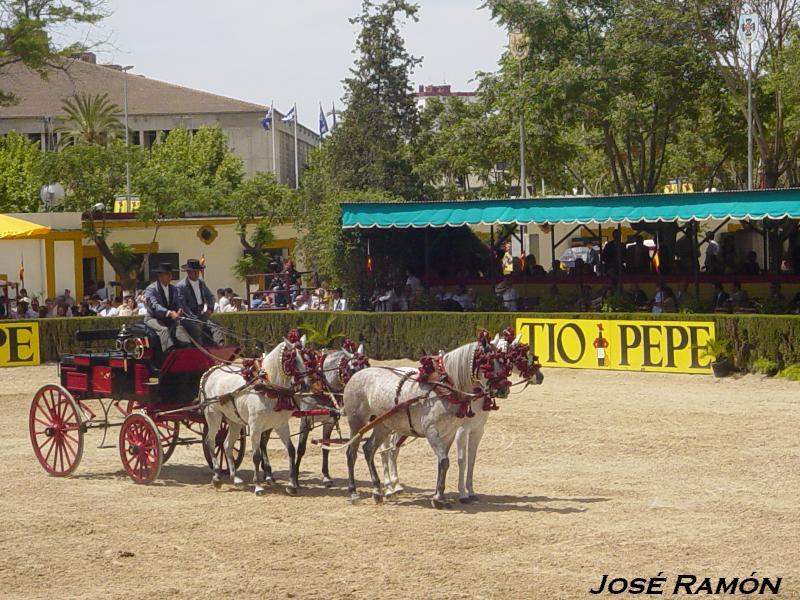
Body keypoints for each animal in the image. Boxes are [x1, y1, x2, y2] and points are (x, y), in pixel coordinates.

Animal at [200, 336, 312, 494]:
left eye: (306, 358)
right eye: (293, 359)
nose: (306, 384)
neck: (269, 388)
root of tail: (211, 372)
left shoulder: (281, 425)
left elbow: (291, 450)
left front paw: (291, 485)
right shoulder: (255, 427)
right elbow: (256, 456)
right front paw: (258, 485)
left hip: (234, 422)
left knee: (227, 444)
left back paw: (235, 478)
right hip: (213, 416)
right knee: (210, 441)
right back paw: (216, 476)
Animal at [340, 336, 510, 508]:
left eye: (504, 362)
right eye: (488, 364)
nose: (503, 390)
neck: (444, 388)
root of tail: (357, 374)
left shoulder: (449, 433)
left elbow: (443, 462)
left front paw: (439, 495)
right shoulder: (432, 431)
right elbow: (445, 461)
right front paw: (439, 498)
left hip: (383, 425)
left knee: (369, 449)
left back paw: (377, 490)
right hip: (357, 422)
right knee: (352, 453)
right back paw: (354, 492)